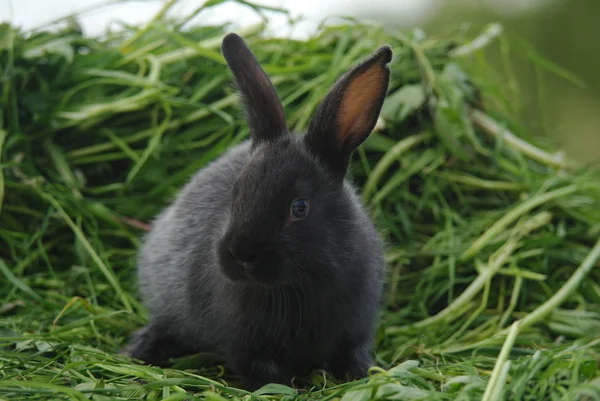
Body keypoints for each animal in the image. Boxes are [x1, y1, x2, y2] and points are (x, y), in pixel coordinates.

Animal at [124, 32, 392, 390]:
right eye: (236, 192)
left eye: (299, 207)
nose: (240, 254)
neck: (299, 283)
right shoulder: (245, 346)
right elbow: (262, 374)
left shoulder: (355, 332)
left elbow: (353, 358)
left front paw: (363, 375)